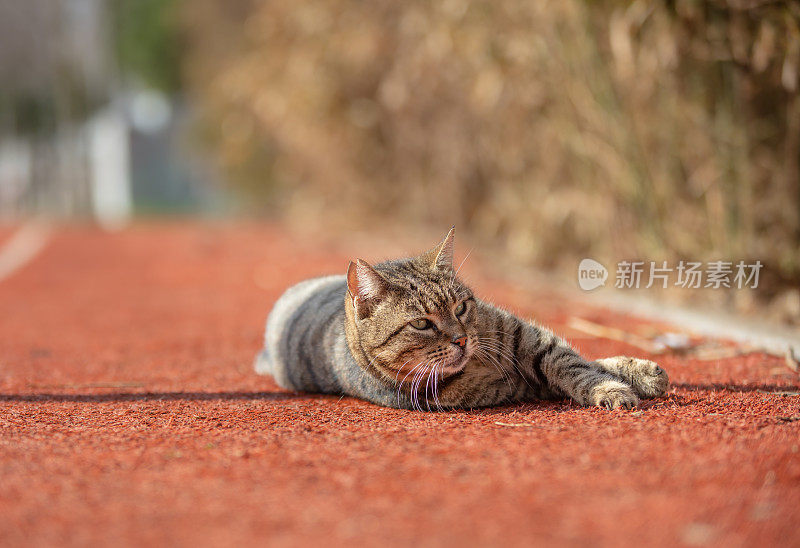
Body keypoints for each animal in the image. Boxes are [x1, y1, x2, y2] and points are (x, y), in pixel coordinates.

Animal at [253, 228, 664, 412]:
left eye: (461, 308)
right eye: (421, 324)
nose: (462, 338)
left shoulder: (528, 337)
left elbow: (575, 364)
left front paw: (632, 374)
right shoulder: (513, 386)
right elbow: (558, 376)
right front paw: (615, 387)